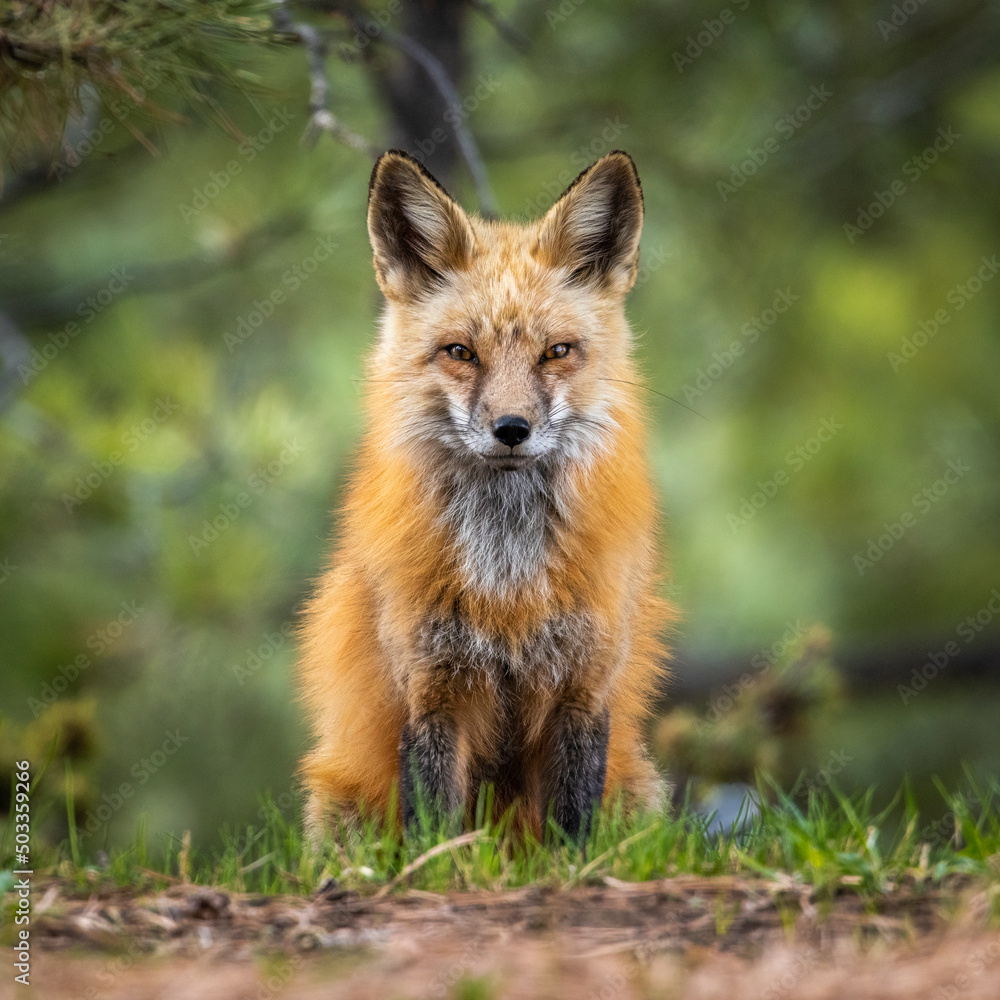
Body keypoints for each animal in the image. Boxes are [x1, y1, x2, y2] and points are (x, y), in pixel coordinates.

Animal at [297, 149, 675, 843]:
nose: (511, 429)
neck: (507, 578)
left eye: (556, 351)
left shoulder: (584, 686)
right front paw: (432, 868)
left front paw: (572, 869)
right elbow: (435, 830)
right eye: (460, 353)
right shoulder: (431, 688)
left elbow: (570, 829)